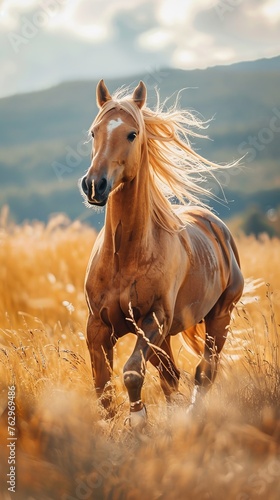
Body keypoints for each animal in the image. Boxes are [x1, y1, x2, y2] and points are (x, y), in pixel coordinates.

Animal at [79, 79, 243, 430]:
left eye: (132, 134)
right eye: (93, 132)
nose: (95, 185)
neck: (125, 255)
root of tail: (216, 226)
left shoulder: (153, 319)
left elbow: (130, 372)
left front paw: (138, 422)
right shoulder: (98, 326)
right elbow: (103, 387)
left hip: (219, 317)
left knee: (204, 373)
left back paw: (191, 418)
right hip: (165, 336)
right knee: (172, 376)